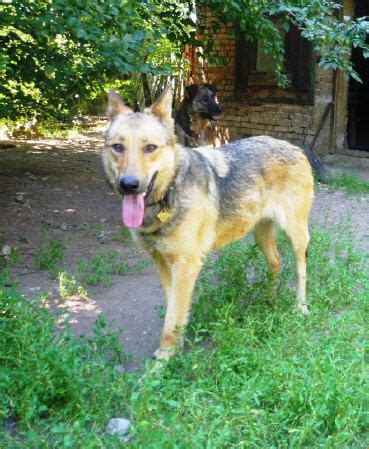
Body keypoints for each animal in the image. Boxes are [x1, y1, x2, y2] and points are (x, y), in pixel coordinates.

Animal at [101, 86, 314, 362]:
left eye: (150, 148)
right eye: (118, 147)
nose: (129, 185)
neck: (170, 194)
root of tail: (294, 147)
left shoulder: (186, 266)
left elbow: (171, 320)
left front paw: (163, 362)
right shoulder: (162, 263)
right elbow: (173, 310)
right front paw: (177, 346)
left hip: (296, 235)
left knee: (301, 270)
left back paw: (300, 308)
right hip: (260, 234)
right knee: (276, 261)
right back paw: (270, 299)